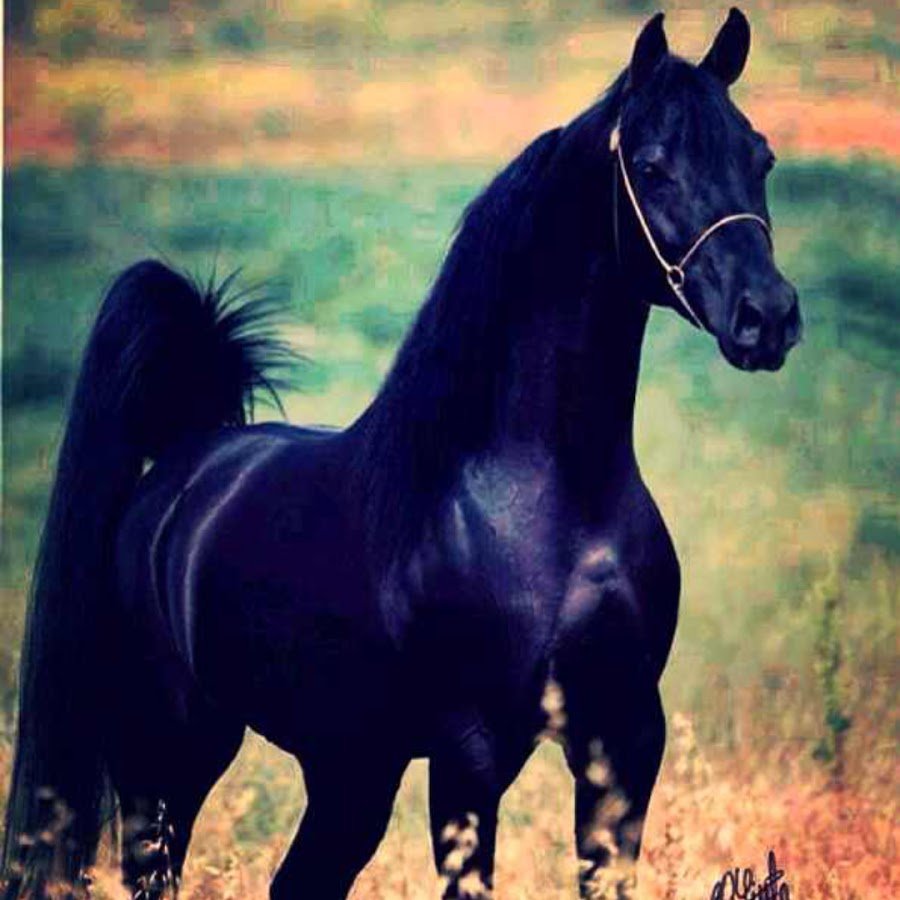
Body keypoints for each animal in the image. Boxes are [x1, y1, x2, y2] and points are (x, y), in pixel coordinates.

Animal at [3, 8, 802, 899]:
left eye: (760, 157)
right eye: (654, 166)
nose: (768, 317)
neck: (554, 504)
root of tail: (185, 462)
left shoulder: (623, 742)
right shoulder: (470, 755)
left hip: (349, 767)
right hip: (172, 750)